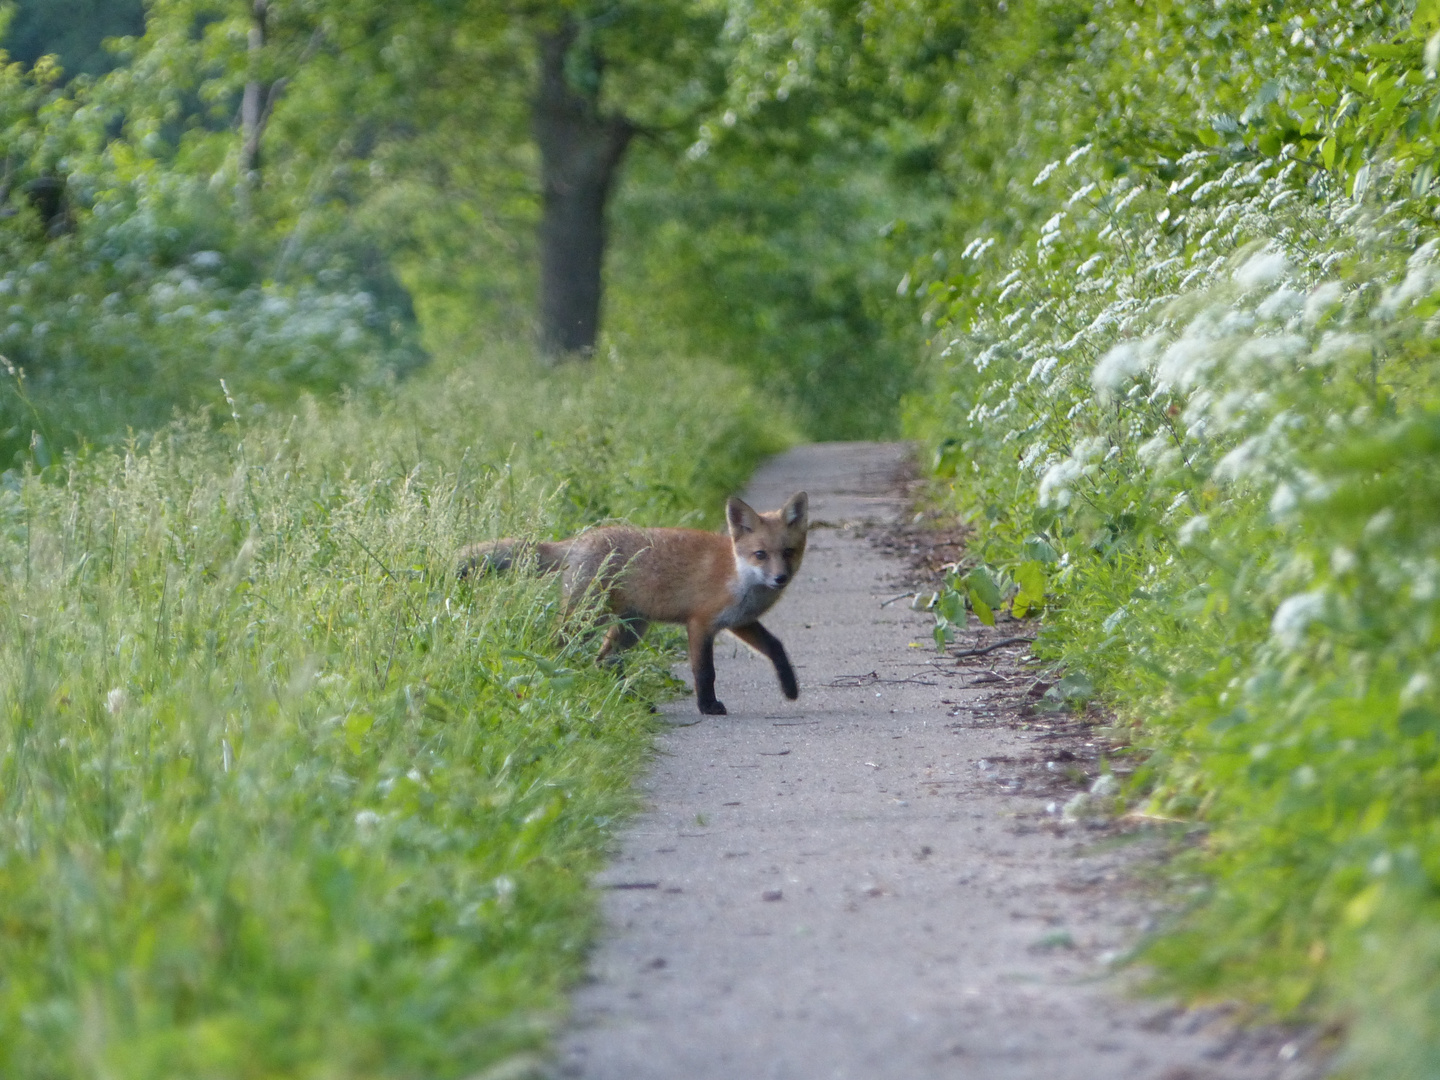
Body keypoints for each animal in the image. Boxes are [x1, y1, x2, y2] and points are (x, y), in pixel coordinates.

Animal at [455, 492, 806, 714]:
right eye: (760, 554)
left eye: (788, 552)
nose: (780, 579)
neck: (738, 574)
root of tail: (576, 541)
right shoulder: (701, 624)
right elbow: (705, 672)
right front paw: (708, 707)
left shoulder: (739, 621)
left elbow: (776, 647)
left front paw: (790, 687)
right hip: (588, 619)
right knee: (559, 646)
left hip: (631, 627)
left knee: (604, 661)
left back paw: (632, 701)